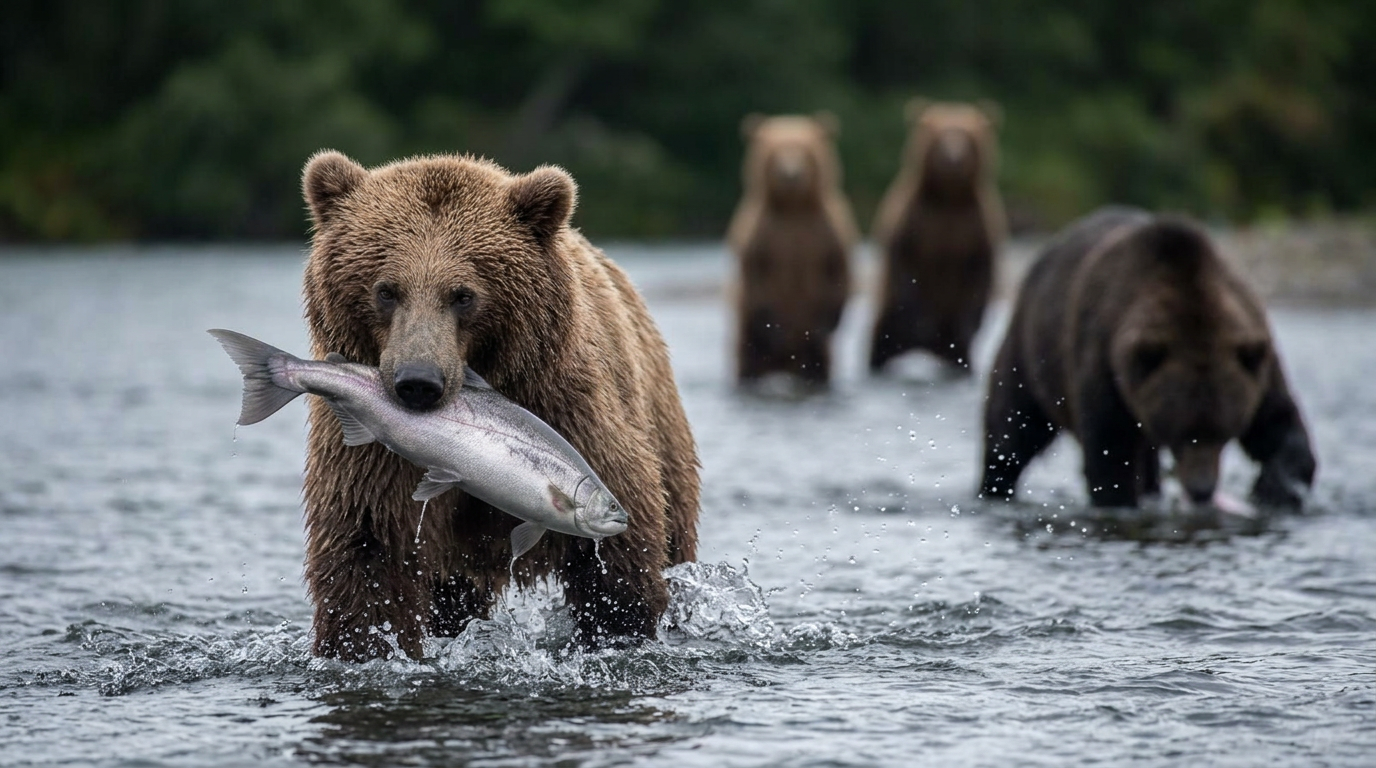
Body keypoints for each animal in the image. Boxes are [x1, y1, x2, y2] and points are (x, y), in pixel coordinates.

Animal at [299, 150, 701, 661]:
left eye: (463, 294)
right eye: (386, 289)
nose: (418, 383)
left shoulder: (572, 412)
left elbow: (618, 561)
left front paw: (618, 630)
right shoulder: (370, 455)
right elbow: (367, 552)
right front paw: (365, 645)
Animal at [726, 113, 858, 388]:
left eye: (806, 151)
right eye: (775, 152)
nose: (790, 174)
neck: (793, 207)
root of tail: (784, 363)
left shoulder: (826, 232)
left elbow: (839, 271)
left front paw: (827, 323)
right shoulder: (762, 235)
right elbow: (756, 274)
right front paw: (774, 327)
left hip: (817, 358)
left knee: (819, 366)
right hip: (747, 338)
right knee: (747, 362)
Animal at [869, 100, 1006, 373]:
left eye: (968, 136)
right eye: (939, 136)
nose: (953, 158)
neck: (948, 196)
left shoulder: (975, 228)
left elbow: (980, 273)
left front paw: (971, 325)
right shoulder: (918, 222)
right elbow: (905, 263)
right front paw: (921, 320)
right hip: (887, 321)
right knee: (879, 345)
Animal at [979, 206, 1317, 509]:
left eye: (1224, 432)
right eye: (1182, 433)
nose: (1202, 490)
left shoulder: (1256, 359)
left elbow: (1278, 420)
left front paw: (1278, 485)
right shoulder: (1104, 363)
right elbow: (1110, 451)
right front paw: (1118, 497)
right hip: (1031, 353)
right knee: (1013, 425)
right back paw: (995, 485)